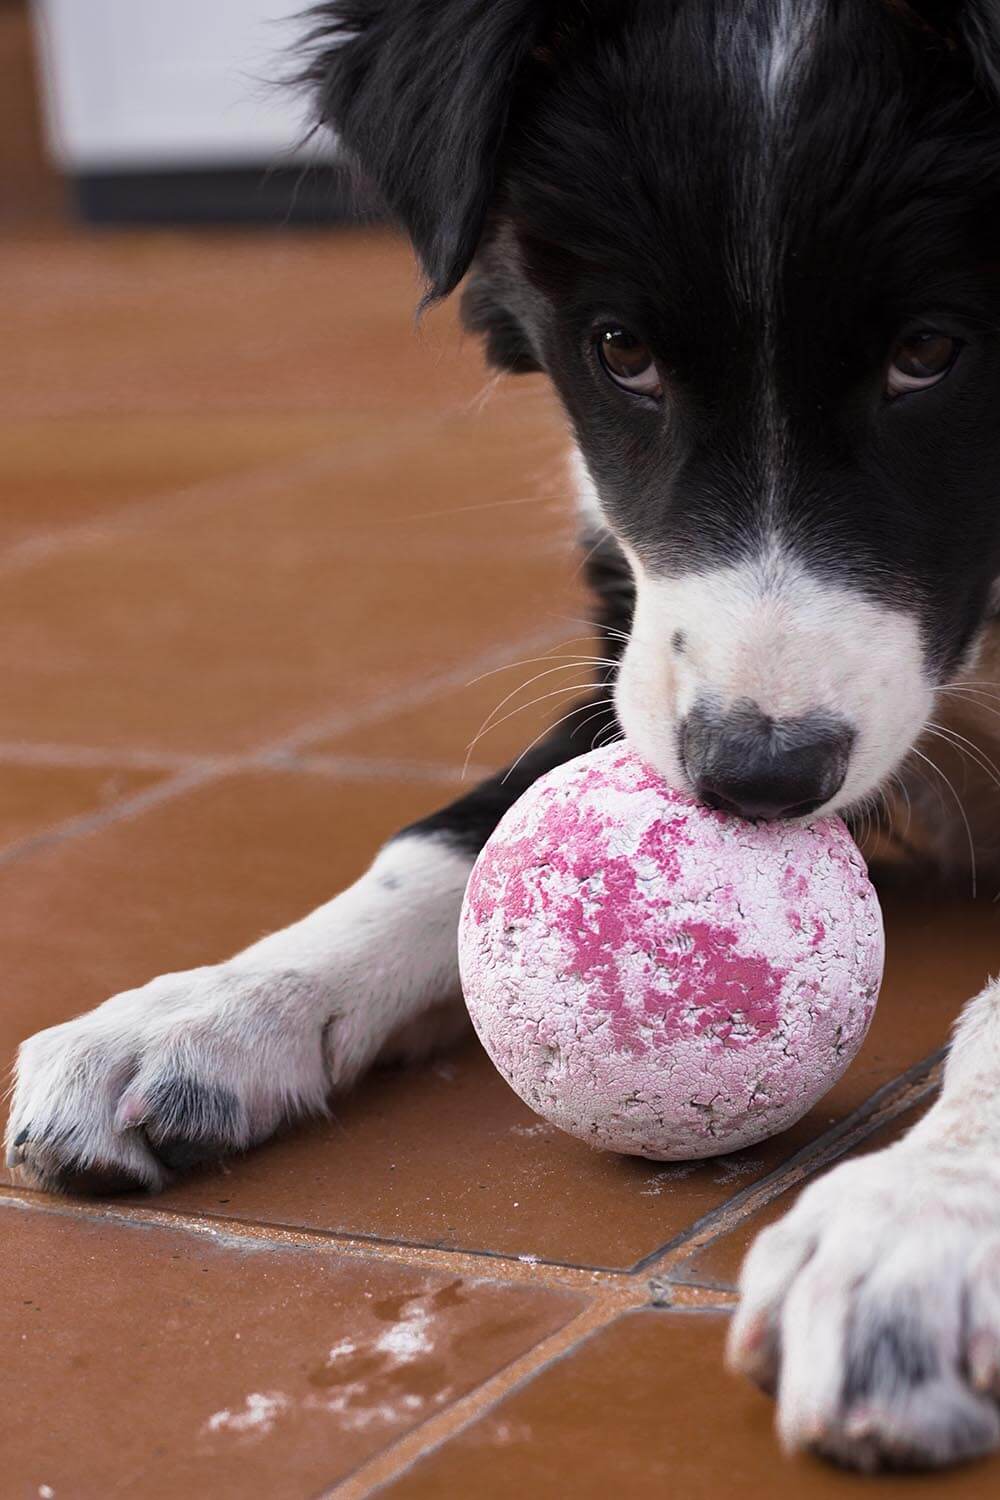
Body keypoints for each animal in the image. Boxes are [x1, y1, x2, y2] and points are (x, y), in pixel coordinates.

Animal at [9, 0, 1000, 1476]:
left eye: (930, 352)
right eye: (621, 354)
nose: (756, 780)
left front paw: (913, 1231)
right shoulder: (630, 655)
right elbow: (446, 848)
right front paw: (202, 1010)